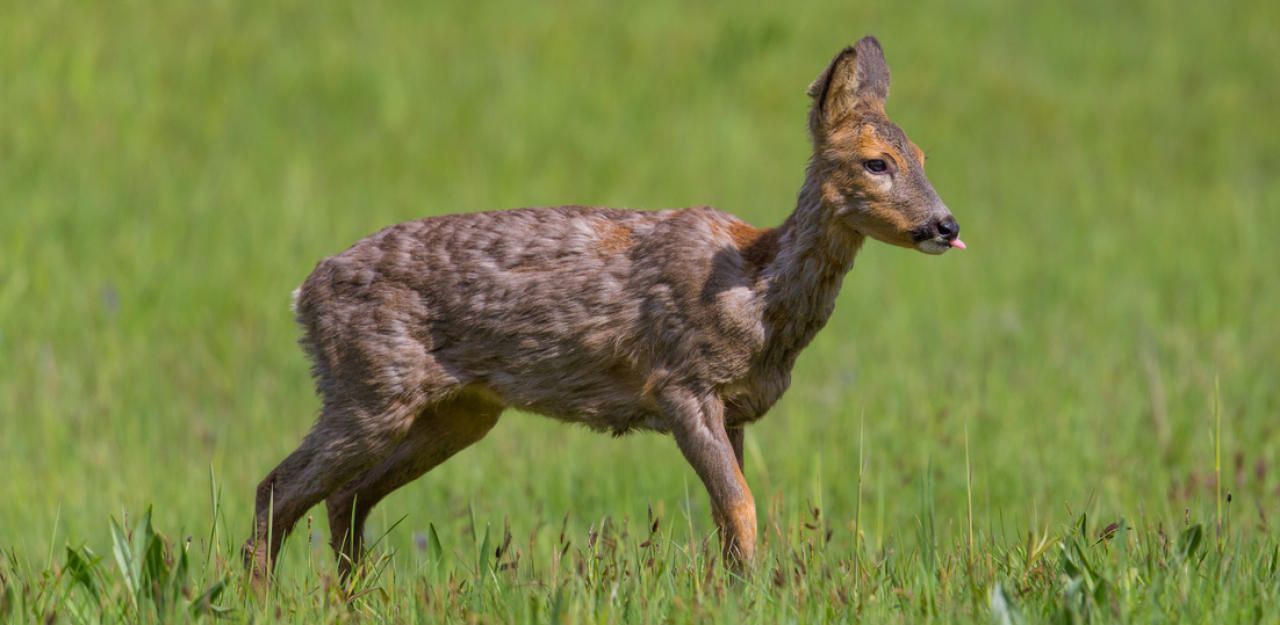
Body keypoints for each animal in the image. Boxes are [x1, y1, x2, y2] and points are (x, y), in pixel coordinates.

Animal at [244, 35, 962, 581]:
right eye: (876, 162)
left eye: (924, 156)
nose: (945, 225)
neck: (757, 290)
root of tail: (304, 292)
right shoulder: (680, 385)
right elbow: (741, 507)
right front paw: (751, 595)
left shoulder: (734, 407)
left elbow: (731, 514)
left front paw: (740, 590)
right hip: (369, 388)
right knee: (279, 486)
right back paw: (264, 597)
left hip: (458, 412)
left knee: (344, 496)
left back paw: (351, 596)